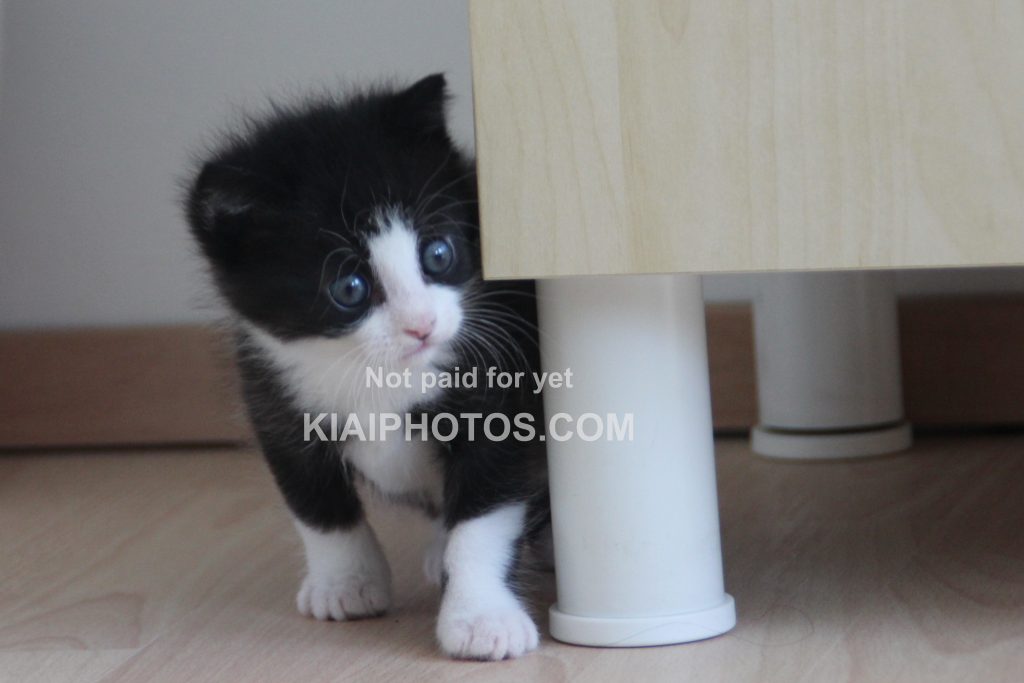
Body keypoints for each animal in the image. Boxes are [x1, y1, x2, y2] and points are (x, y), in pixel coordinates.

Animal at [187, 72, 548, 659]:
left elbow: (483, 515)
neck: (376, 373)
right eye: (350, 288)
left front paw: (480, 617)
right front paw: (346, 583)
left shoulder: (508, 390)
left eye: (439, 254)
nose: (422, 325)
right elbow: (315, 504)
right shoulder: (272, 395)